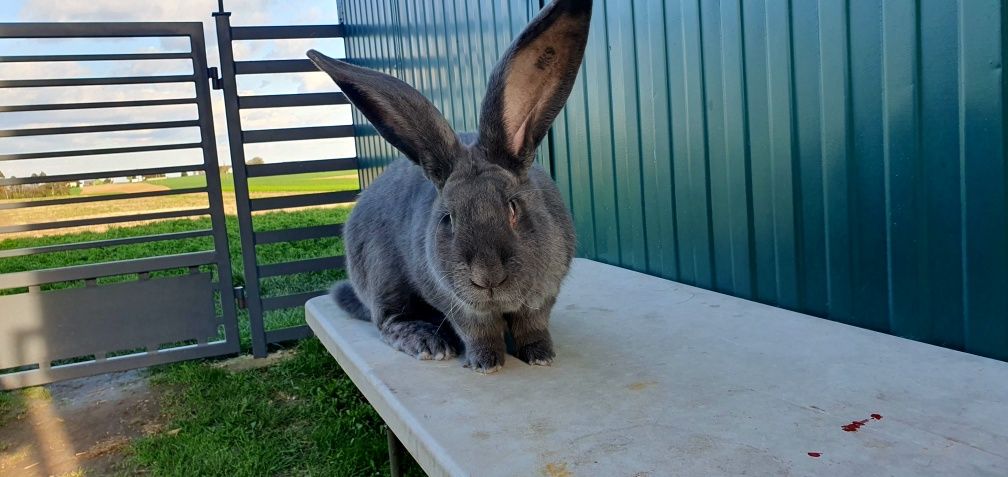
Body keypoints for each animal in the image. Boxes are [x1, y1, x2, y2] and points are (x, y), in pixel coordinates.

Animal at [304, 0, 588, 371]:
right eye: (448, 218)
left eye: (513, 207)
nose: (487, 277)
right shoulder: (457, 304)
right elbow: (479, 333)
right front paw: (487, 364)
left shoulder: (543, 296)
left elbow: (533, 326)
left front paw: (541, 356)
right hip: (382, 278)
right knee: (388, 320)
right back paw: (429, 342)